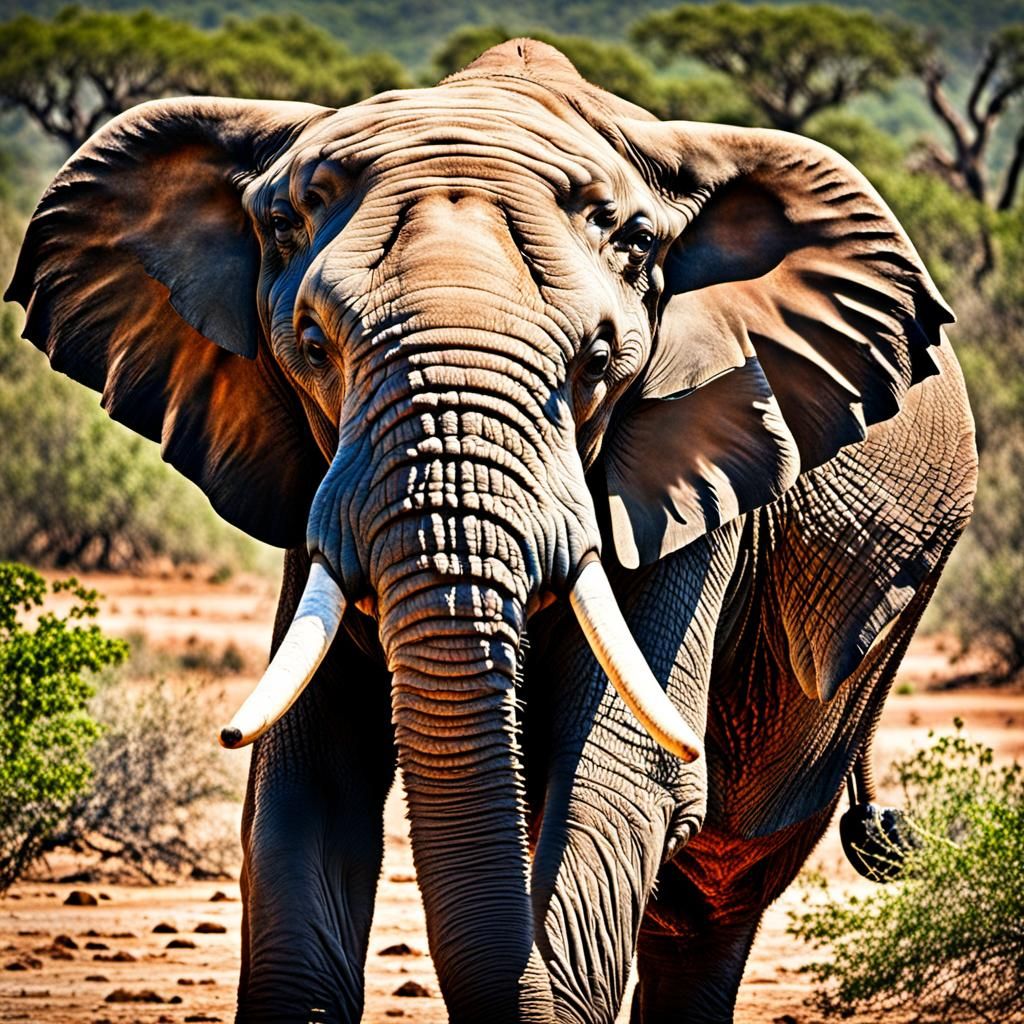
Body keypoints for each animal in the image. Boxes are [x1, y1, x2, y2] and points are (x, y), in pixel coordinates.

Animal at [6, 39, 976, 1024]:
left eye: (598, 362)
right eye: (313, 347)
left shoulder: (696, 467)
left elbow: (618, 781)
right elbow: (306, 787)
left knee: (721, 891)